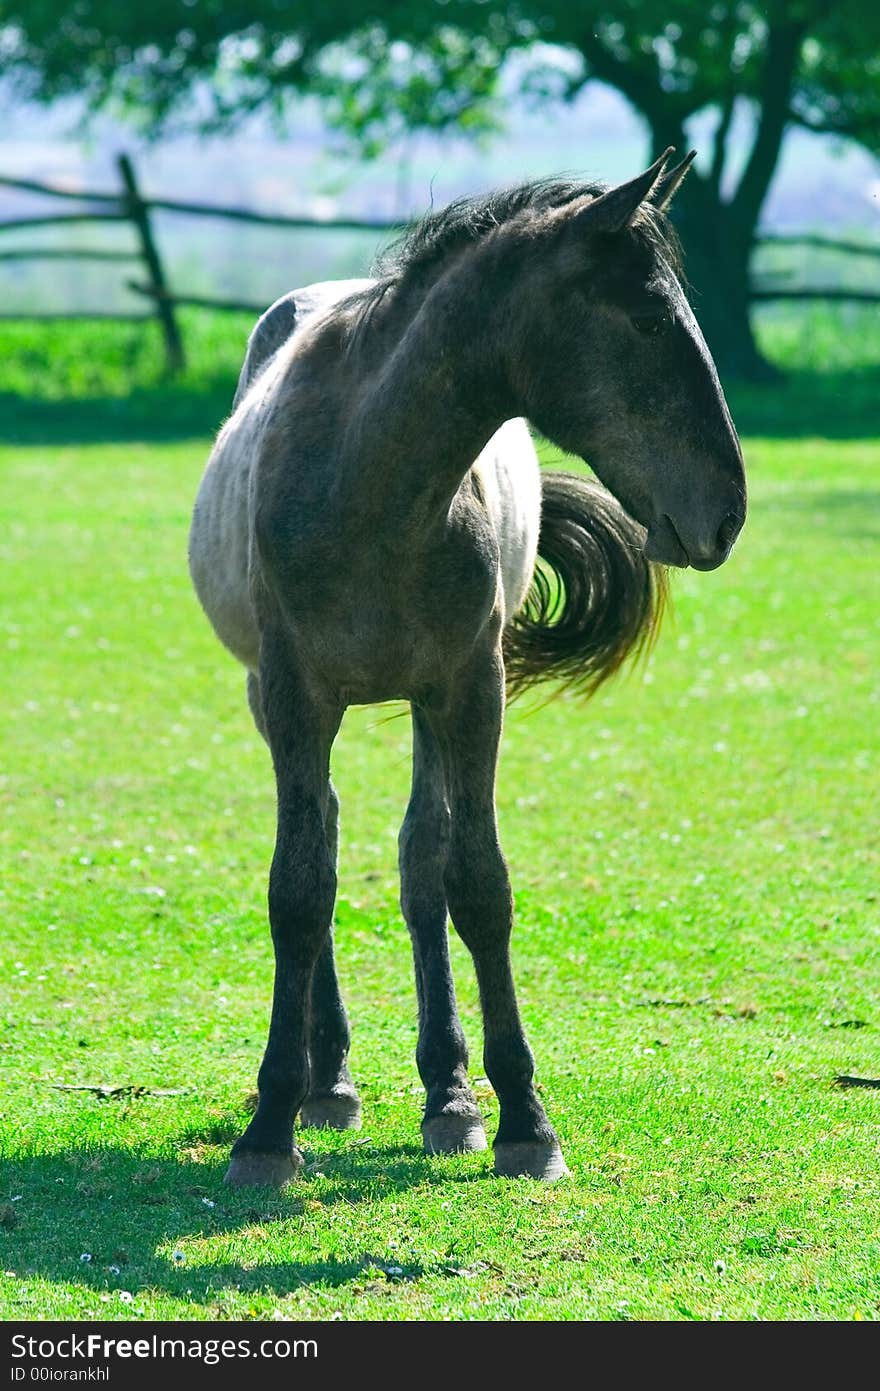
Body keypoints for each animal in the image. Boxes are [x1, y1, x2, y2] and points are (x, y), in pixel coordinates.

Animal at [189, 155, 745, 1196]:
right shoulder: (292, 697)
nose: (726, 510)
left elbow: (475, 883)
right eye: (651, 322)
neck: (366, 480)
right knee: (330, 839)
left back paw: (446, 1093)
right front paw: (269, 1127)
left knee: (420, 860)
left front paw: (523, 1115)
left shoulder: (468, 688)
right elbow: (299, 889)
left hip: (423, 704)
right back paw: (327, 1080)